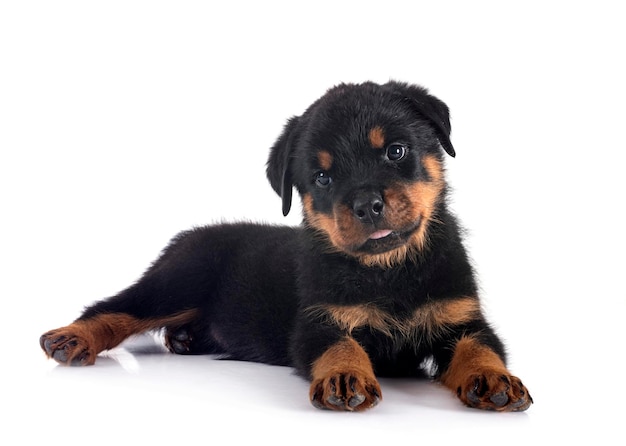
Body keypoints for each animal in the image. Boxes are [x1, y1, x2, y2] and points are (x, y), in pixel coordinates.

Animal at [39, 81, 528, 412]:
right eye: (323, 178)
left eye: (396, 151)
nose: (367, 205)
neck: (388, 269)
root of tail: (188, 237)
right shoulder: (317, 321)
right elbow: (340, 346)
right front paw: (345, 378)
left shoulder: (462, 318)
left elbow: (479, 348)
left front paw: (493, 379)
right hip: (181, 279)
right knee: (118, 306)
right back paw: (73, 337)